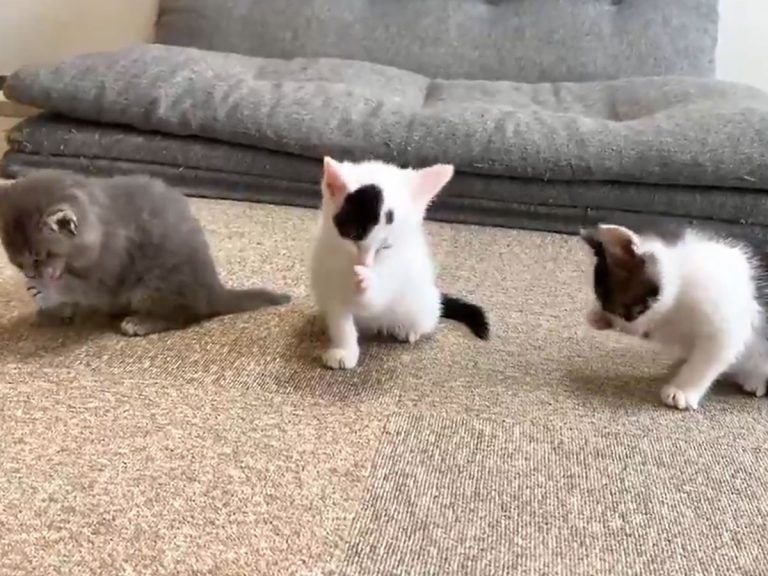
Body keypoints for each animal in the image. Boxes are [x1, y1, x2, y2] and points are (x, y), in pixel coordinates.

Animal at [0, 170, 290, 336]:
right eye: (17, 263)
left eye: (39, 257)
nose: (30, 274)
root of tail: (213, 290)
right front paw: (55, 310)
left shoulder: (111, 269)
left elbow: (81, 288)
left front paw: (49, 291)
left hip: (155, 283)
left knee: (184, 315)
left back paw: (142, 322)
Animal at [310, 157, 489, 369]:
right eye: (353, 236)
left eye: (386, 247)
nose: (366, 263)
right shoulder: (328, 275)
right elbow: (340, 318)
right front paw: (345, 351)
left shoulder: (396, 269)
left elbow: (375, 299)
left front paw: (365, 281)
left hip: (421, 303)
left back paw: (409, 330)